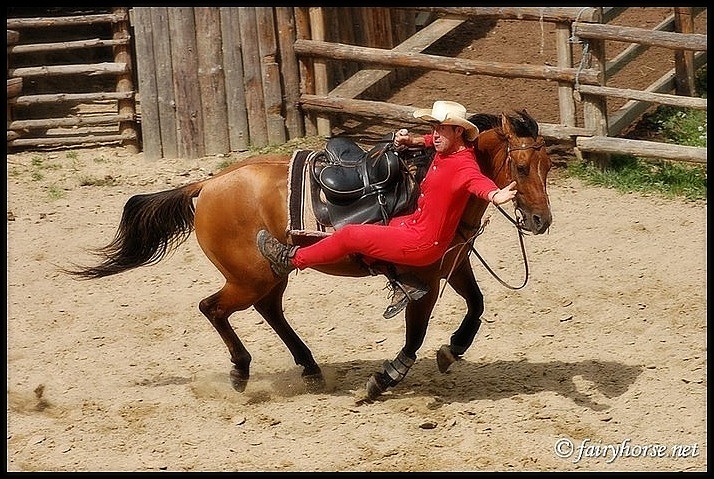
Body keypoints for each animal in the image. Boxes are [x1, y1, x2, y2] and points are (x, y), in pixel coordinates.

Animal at [67, 109, 552, 402]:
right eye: (521, 167)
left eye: (548, 167)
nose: (540, 220)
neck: (431, 183)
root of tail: (208, 184)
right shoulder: (424, 283)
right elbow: (414, 337)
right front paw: (383, 379)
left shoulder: (453, 265)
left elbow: (477, 306)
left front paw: (452, 350)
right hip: (248, 278)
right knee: (214, 308)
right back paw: (241, 371)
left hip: (264, 278)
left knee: (268, 310)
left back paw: (309, 366)